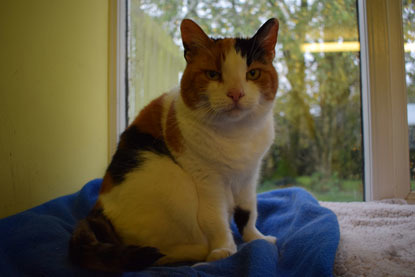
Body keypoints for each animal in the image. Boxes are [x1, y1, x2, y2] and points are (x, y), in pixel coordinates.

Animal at [70, 17, 282, 272]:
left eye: (253, 73)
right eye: (213, 74)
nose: (236, 93)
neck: (237, 136)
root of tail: (97, 207)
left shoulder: (249, 175)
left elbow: (249, 212)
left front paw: (258, 239)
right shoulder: (206, 180)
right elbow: (216, 219)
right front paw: (224, 250)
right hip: (172, 180)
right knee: (163, 250)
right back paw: (196, 254)